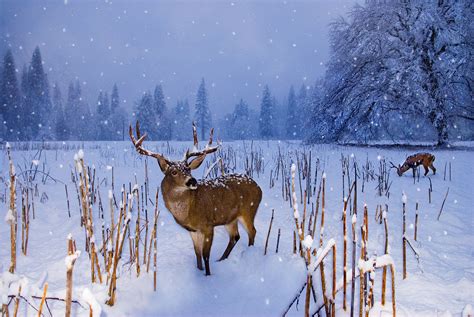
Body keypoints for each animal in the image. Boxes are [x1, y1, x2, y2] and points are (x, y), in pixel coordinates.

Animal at [130, 121, 262, 274]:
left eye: (188, 169)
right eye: (173, 172)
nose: (192, 181)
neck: (188, 212)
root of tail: (259, 187)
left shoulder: (208, 225)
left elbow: (205, 255)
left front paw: (208, 275)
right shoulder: (193, 230)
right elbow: (197, 253)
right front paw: (199, 270)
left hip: (248, 210)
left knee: (252, 231)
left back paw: (249, 254)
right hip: (230, 218)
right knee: (235, 236)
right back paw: (222, 259)